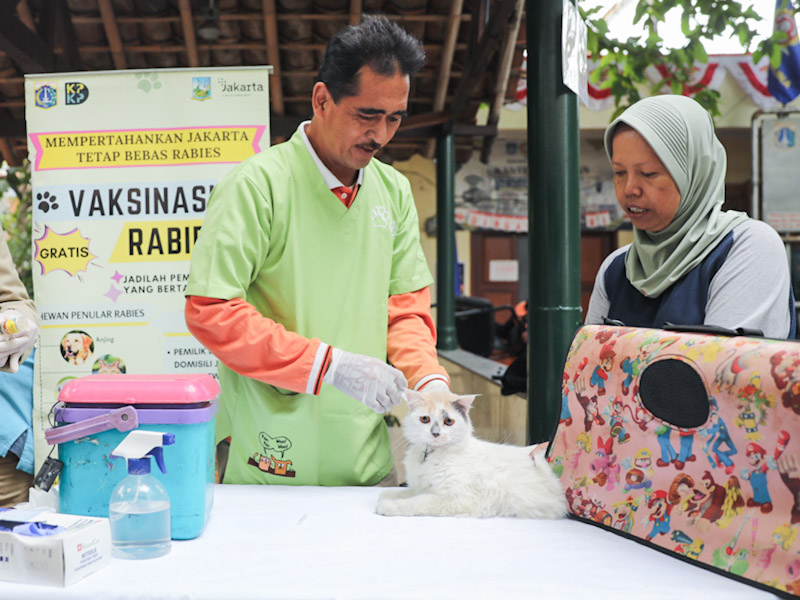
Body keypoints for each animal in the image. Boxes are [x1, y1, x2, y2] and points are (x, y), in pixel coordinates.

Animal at [376, 390, 568, 520]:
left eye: (448, 421)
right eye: (425, 419)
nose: (436, 433)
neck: (431, 456)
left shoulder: (455, 498)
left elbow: (416, 502)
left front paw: (387, 505)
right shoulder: (423, 488)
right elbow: (409, 492)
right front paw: (387, 495)